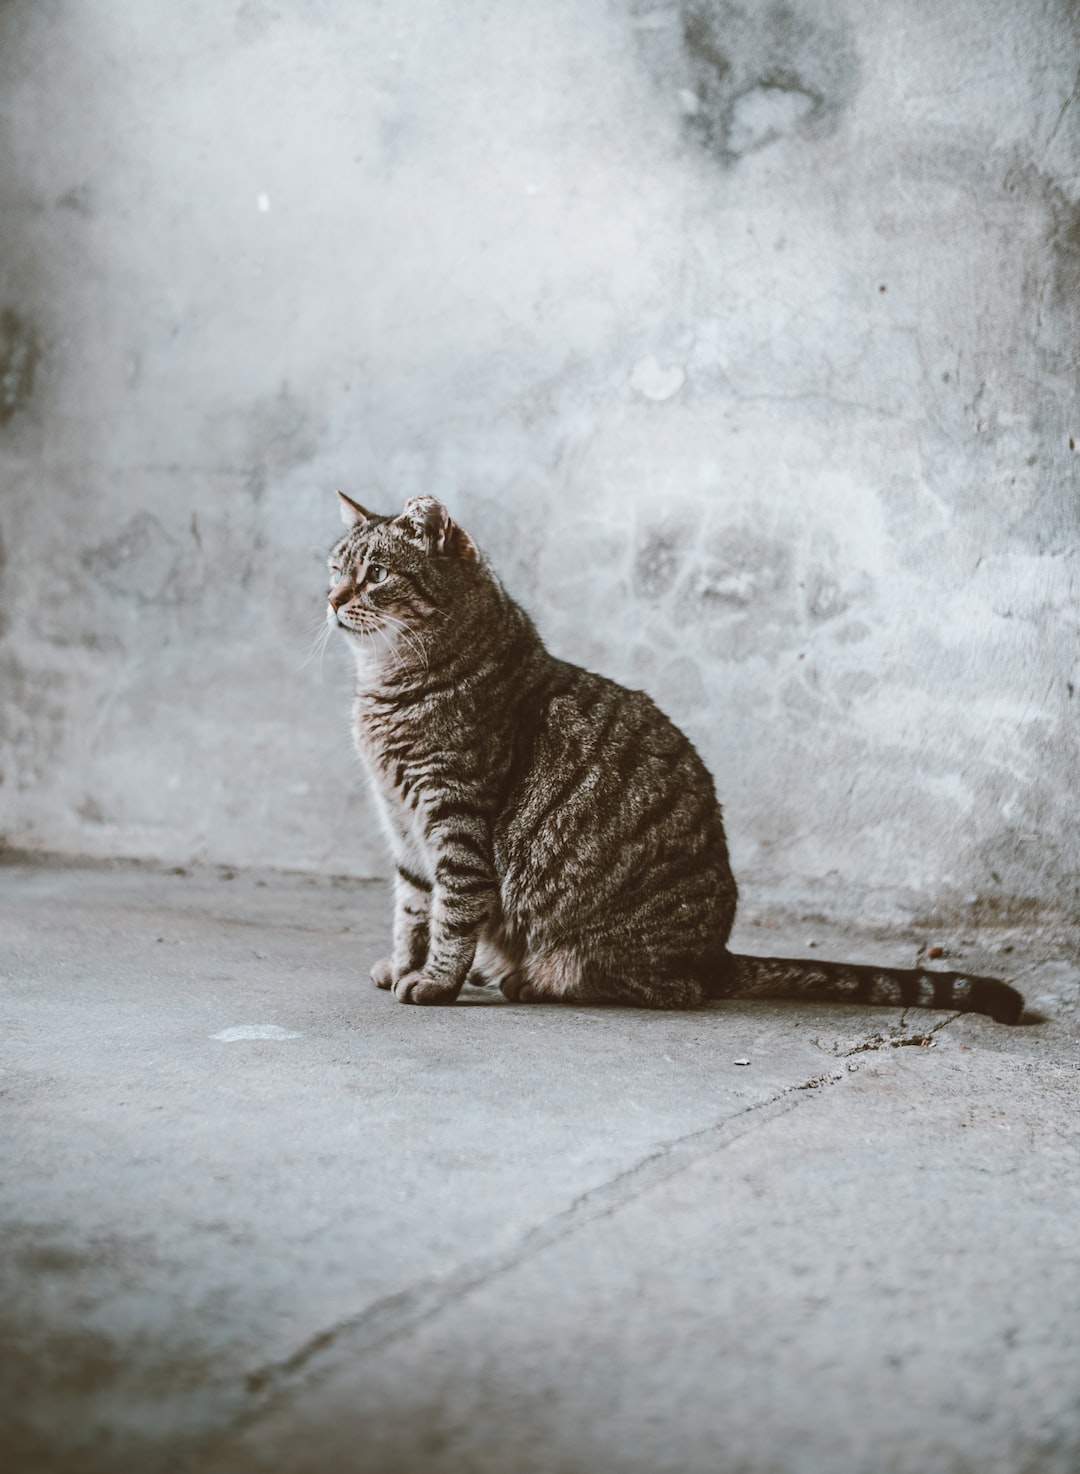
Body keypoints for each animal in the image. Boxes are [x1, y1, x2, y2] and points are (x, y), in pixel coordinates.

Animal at [324, 495, 1025, 1025]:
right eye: (334, 569)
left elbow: (453, 911)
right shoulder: (403, 825)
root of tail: (716, 952)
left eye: (377, 573)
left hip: (617, 949)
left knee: (663, 990)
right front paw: (406, 965)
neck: (387, 687)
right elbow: (413, 909)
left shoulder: (456, 816)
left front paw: (437, 981)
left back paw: (532, 978)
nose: (331, 600)